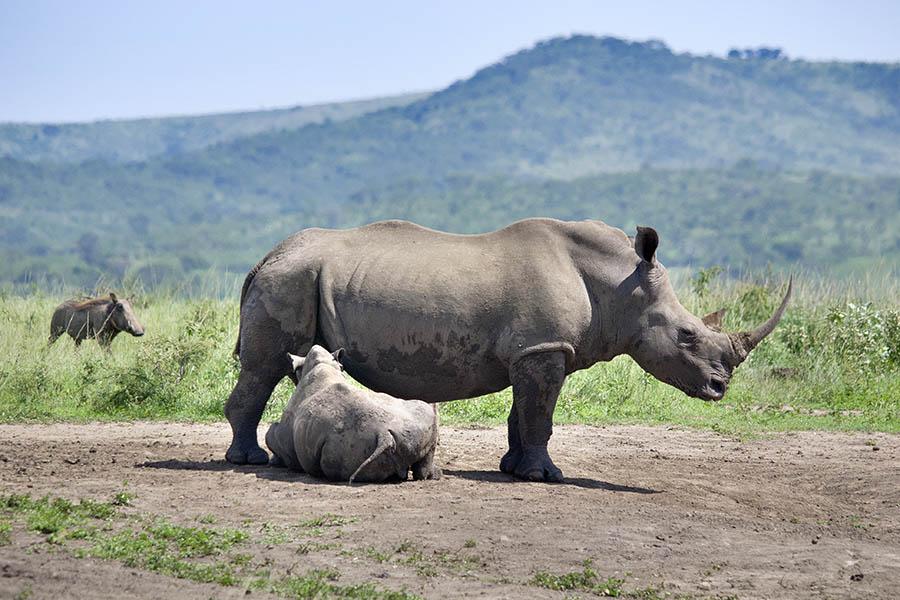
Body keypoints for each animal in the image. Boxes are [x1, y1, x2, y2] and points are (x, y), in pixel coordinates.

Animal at [265, 345, 441, 483]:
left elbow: (271, 434)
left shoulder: (286, 438)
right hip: (416, 421)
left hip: (344, 441)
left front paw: (274, 461)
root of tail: (384, 435)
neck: (322, 365)